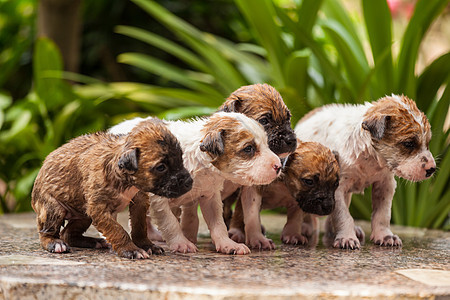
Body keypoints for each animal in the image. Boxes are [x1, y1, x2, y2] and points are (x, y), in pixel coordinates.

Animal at [32, 118, 192, 258]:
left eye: (181, 159)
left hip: (83, 215)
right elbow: (117, 230)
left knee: (68, 233)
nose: (189, 182)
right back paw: (55, 243)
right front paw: (131, 249)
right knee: (47, 233)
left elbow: (140, 226)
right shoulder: (99, 209)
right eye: (161, 167)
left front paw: (146, 245)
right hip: (54, 209)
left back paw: (94, 241)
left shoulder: (139, 203)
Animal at [108, 111, 280, 254]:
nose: (278, 166)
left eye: (266, 143)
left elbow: (218, 224)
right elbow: (170, 222)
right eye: (248, 148)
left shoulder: (210, 197)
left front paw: (227, 244)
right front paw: (182, 243)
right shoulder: (159, 199)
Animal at [296, 94, 436, 248]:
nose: (432, 169)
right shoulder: (337, 189)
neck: (370, 158)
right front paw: (347, 238)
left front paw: (385, 236)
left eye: (428, 143)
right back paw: (305, 228)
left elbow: (382, 214)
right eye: (409, 144)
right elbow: (343, 215)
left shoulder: (385, 185)